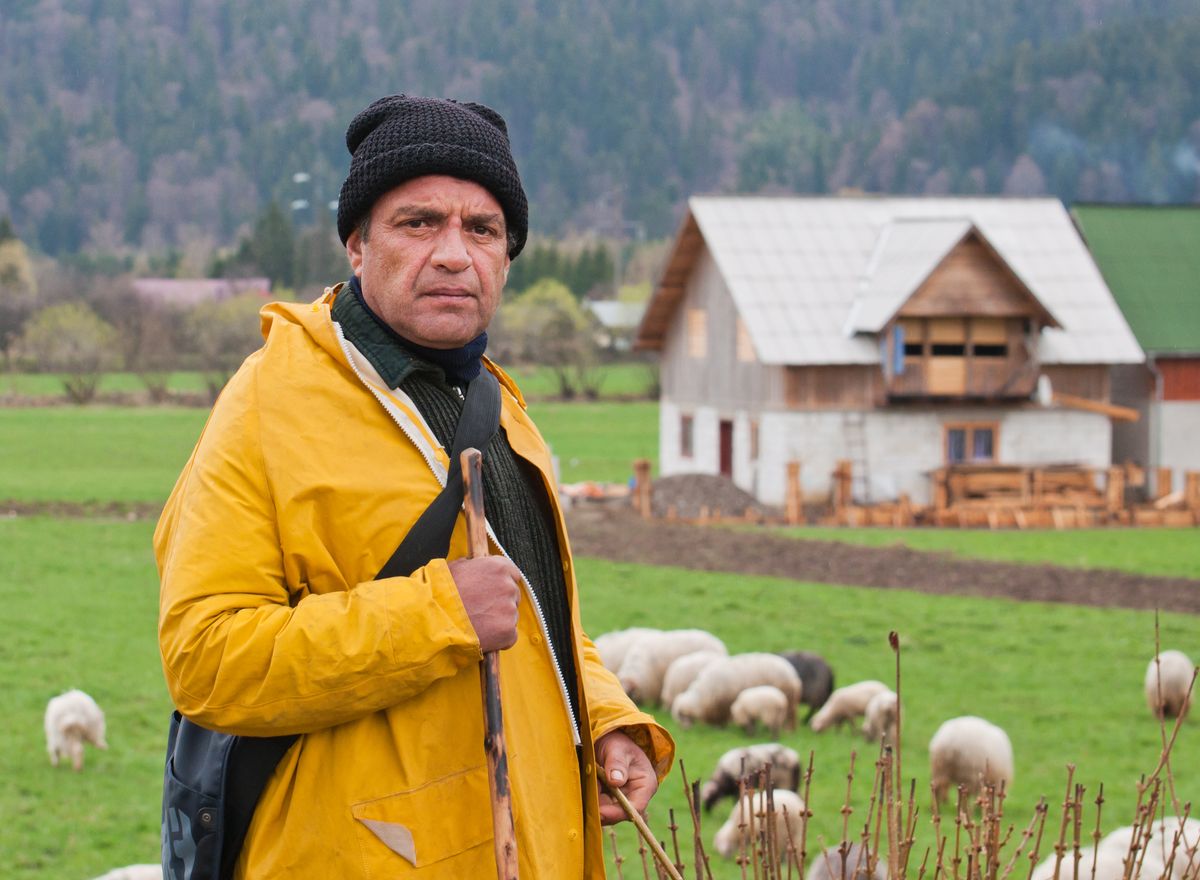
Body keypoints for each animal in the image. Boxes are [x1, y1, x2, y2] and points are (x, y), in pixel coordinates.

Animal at [672, 653, 801, 729]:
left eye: (680, 715)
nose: (685, 729)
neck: (700, 698)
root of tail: (790, 670)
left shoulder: (722, 703)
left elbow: (720, 717)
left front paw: (719, 727)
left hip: (787, 698)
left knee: (790, 715)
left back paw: (788, 730)